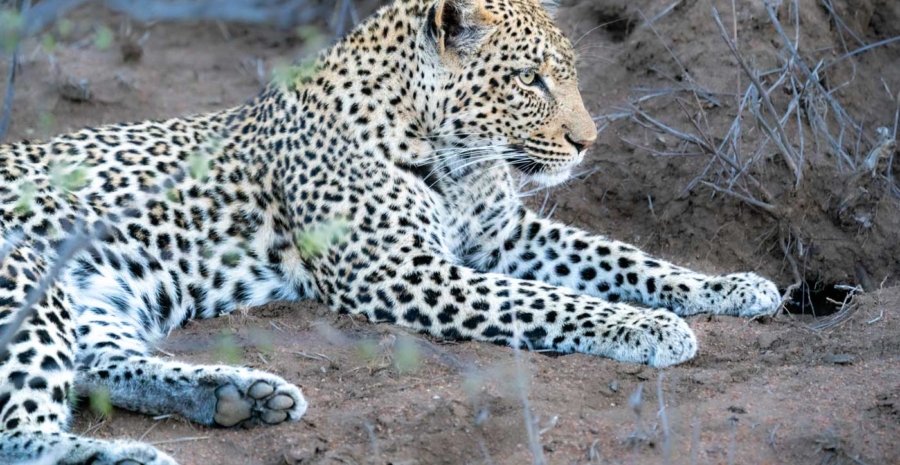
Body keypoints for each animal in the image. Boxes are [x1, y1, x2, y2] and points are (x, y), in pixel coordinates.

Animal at [0, 0, 782, 463]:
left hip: (94, 301)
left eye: (563, 75)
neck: (454, 152)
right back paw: (132, 453)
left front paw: (732, 288)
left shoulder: (504, 234)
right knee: (19, 432)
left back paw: (239, 396)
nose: (588, 143)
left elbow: (623, 256)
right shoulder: (401, 271)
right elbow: (548, 300)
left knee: (94, 368)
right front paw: (647, 326)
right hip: (25, 278)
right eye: (530, 80)